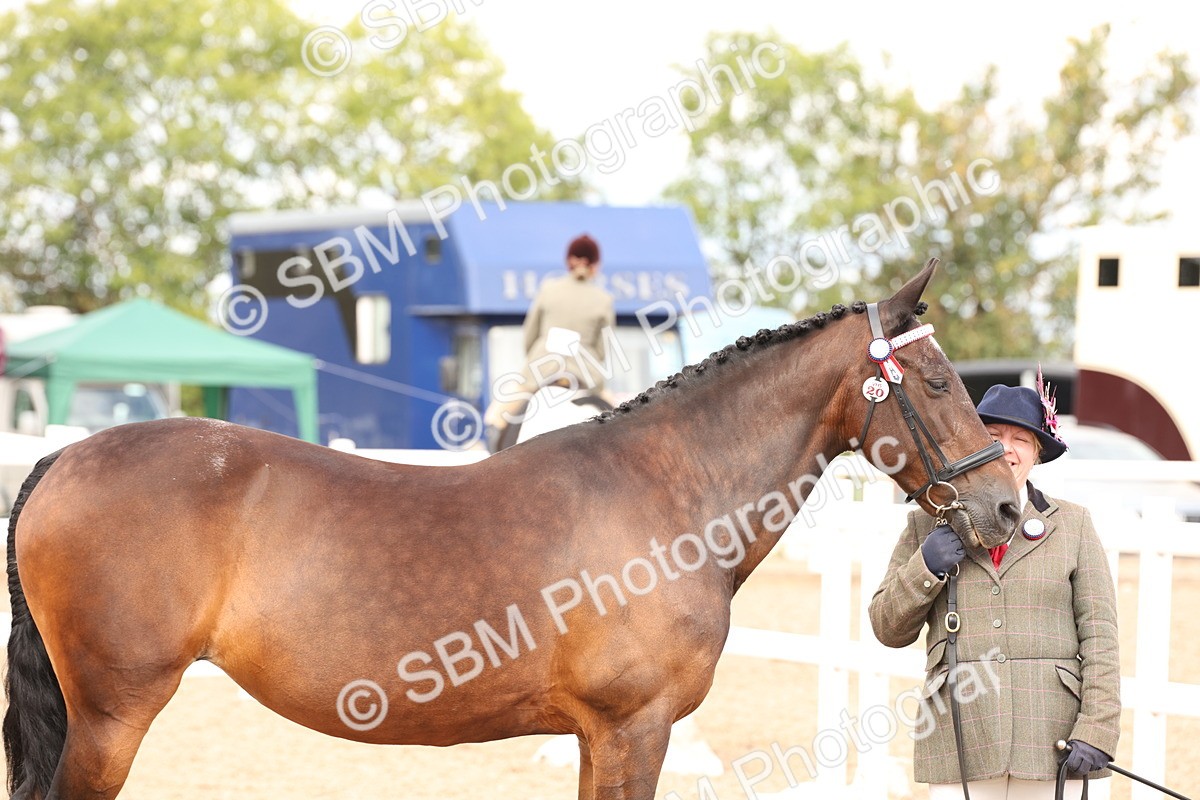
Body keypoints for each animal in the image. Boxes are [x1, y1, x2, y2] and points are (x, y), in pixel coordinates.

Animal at [3, 261, 1021, 799]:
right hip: (113, 714)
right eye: (940, 383)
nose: (1011, 506)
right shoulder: (634, 727)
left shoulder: (600, 735)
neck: (666, 495)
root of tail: (64, 460)